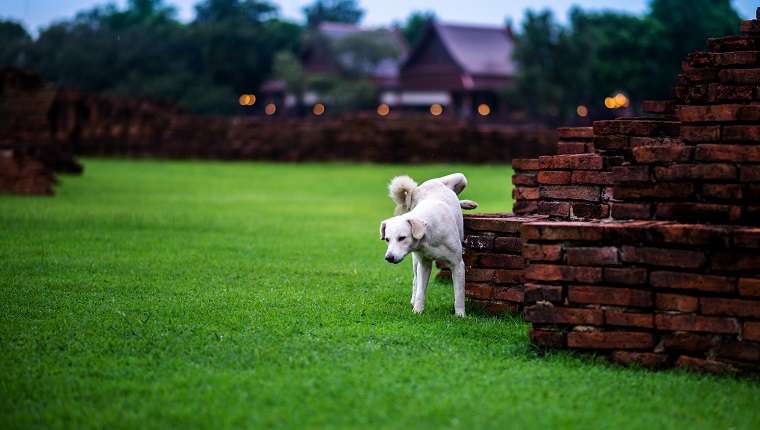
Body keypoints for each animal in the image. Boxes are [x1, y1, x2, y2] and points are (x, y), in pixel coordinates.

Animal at [378, 173, 476, 318]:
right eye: (387, 239)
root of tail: (417, 189)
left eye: (402, 238)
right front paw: (417, 310)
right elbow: (420, 291)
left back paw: (467, 203)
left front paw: (460, 315)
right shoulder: (424, 264)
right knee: (415, 280)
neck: (428, 234)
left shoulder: (457, 264)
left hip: (461, 178)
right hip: (415, 262)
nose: (388, 258)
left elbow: (459, 294)